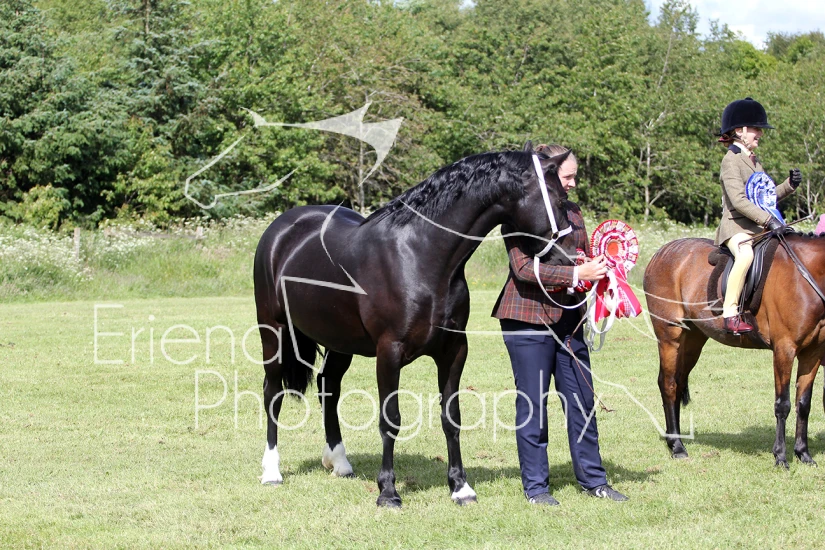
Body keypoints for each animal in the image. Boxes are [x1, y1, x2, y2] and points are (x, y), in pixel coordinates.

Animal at [253, 145, 575, 507]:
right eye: (560, 199)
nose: (570, 260)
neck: (420, 255)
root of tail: (282, 229)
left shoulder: (454, 351)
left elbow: (452, 417)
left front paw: (460, 487)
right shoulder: (389, 352)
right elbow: (390, 419)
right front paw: (388, 492)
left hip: (339, 341)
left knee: (328, 386)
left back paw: (339, 462)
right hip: (273, 331)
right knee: (272, 391)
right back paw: (271, 471)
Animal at [643, 234, 825, 467]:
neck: (805, 276)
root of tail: (662, 251)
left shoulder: (813, 353)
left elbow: (803, 404)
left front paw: (803, 454)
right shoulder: (784, 349)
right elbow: (782, 404)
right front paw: (780, 456)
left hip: (692, 340)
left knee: (678, 380)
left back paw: (674, 439)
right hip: (669, 336)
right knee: (668, 384)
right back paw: (677, 447)